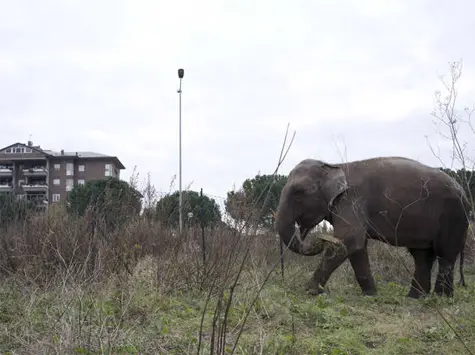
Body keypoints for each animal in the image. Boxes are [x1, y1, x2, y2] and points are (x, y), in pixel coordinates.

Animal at [276, 157, 472, 298]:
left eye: (299, 192)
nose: (319, 237)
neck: (335, 166)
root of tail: (464, 192)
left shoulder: (352, 201)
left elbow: (348, 241)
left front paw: (308, 291)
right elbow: (356, 247)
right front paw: (370, 295)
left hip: (453, 215)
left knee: (445, 254)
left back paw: (441, 298)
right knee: (422, 256)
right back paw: (415, 298)